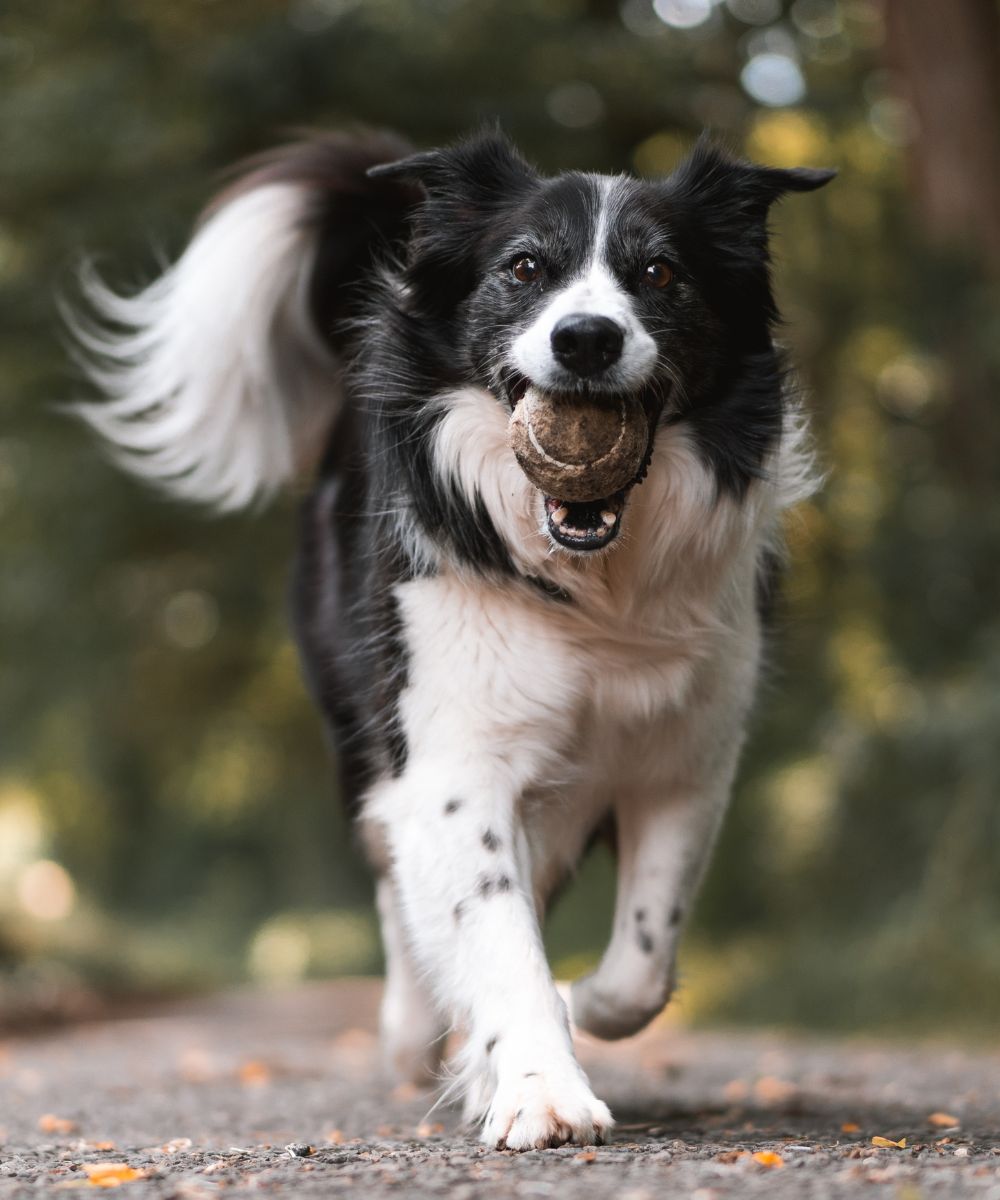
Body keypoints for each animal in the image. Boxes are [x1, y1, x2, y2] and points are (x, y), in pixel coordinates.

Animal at [70, 129, 830, 1152]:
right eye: (525, 268)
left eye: (661, 273)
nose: (585, 338)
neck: (595, 582)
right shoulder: (451, 756)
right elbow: (493, 933)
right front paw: (541, 1090)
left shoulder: (686, 756)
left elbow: (641, 962)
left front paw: (570, 1013)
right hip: (365, 735)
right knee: (400, 889)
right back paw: (413, 1035)